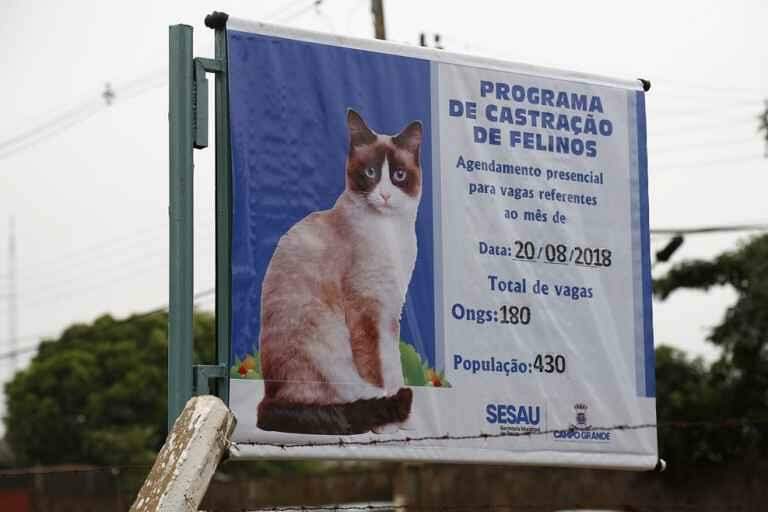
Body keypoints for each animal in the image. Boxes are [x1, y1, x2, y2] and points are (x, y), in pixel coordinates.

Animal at [256, 110, 424, 434]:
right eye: (370, 173)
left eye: (398, 175)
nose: (385, 195)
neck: (390, 233)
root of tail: (268, 396)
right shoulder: (366, 307)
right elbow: (376, 369)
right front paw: (387, 422)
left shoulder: (390, 311)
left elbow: (393, 365)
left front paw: (404, 422)